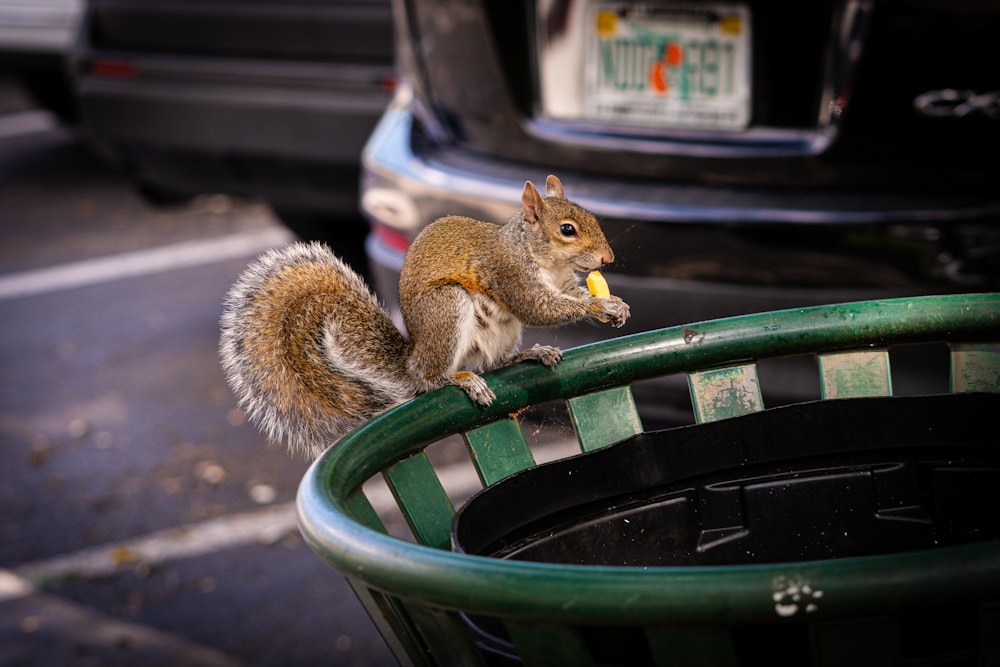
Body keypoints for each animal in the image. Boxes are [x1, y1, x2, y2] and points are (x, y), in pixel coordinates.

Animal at [220, 175, 628, 460]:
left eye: (591, 217)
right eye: (567, 230)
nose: (608, 258)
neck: (538, 255)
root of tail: (412, 357)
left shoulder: (563, 282)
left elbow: (573, 295)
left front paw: (616, 304)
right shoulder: (510, 274)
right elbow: (540, 307)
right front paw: (598, 307)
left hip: (502, 330)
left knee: (495, 361)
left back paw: (531, 353)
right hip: (446, 308)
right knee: (431, 378)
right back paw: (460, 380)